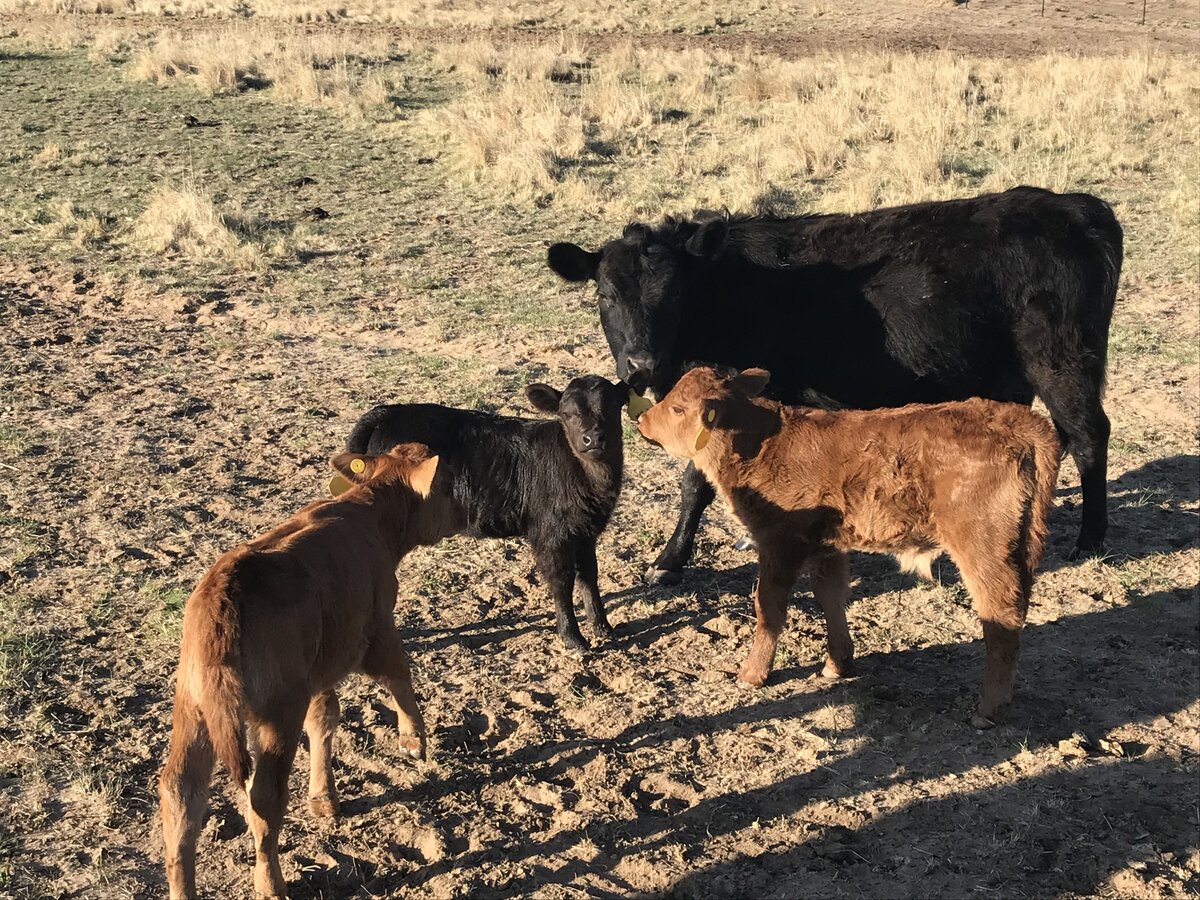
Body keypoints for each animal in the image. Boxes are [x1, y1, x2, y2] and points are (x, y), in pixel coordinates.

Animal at [548, 186, 1121, 583]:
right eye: (606, 295)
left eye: (673, 294)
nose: (641, 364)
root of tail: (1076, 207)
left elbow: (697, 482)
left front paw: (669, 560)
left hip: (1064, 363)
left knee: (1089, 436)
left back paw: (1091, 539)